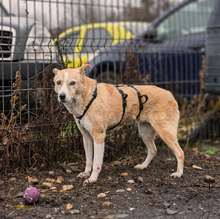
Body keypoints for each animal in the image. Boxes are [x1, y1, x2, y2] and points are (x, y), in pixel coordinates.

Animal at [52, 64, 184, 184]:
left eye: (72, 83)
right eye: (58, 82)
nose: (62, 96)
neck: (88, 96)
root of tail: (170, 94)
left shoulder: (99, 136)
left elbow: (96, 163)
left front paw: (93, 178)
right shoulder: (86, 137)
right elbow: (89, 160)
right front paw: (86, 173)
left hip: (165, 132)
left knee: (180, 152)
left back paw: (178, 173)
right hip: (144, 133)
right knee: (153, 150)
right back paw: (143, 166)